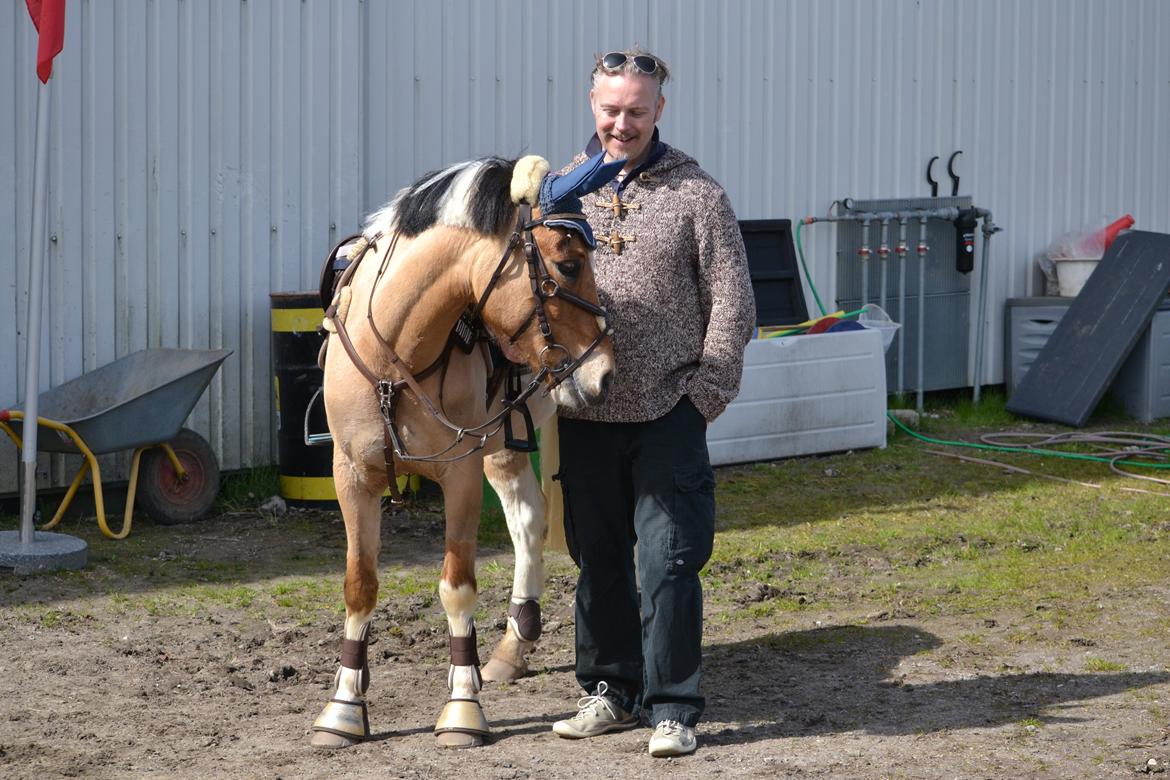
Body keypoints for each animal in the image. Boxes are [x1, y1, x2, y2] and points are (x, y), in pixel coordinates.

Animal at [311, 151, 624, 749]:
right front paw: (343, 707)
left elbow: (456, 587)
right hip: (501, 448)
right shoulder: (351, 476)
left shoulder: (459, 473)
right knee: (526, 516)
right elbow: (359, 585)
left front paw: (462, 707)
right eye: (569, 265)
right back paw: (509, 646)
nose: (603, 373)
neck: (394, 360)